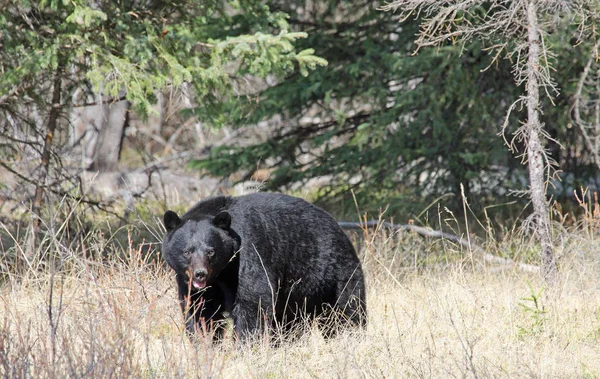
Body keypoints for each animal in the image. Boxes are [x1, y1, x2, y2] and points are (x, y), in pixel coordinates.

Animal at [161, 191, 366, 342]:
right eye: (187, 251)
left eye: (211, 251)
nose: (200, 274)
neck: (221, 274)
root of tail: (339, 228)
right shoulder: (192, 285)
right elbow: (200, 311)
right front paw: (204, 343)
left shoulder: (247, 256)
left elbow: (253, 302)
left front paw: (245, 345)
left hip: (336, 274)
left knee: (347, 309)